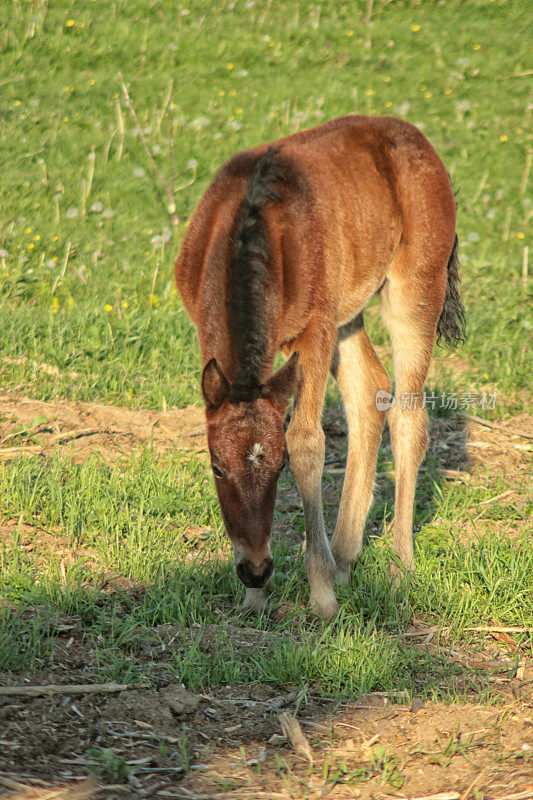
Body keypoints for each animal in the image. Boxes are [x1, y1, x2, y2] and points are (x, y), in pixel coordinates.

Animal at [174, 114, 462, 620]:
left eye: (279, 469)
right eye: (216, 468)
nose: (255, 570)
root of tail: (419, 139)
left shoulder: (315, 328)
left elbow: (307, 441)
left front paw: (321, 594)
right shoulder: (208, 330)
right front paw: (255, 599)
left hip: (415, 288)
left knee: (409, 415)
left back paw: (400, 567)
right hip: (349, 311)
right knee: (369, 390)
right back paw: (347, 557)